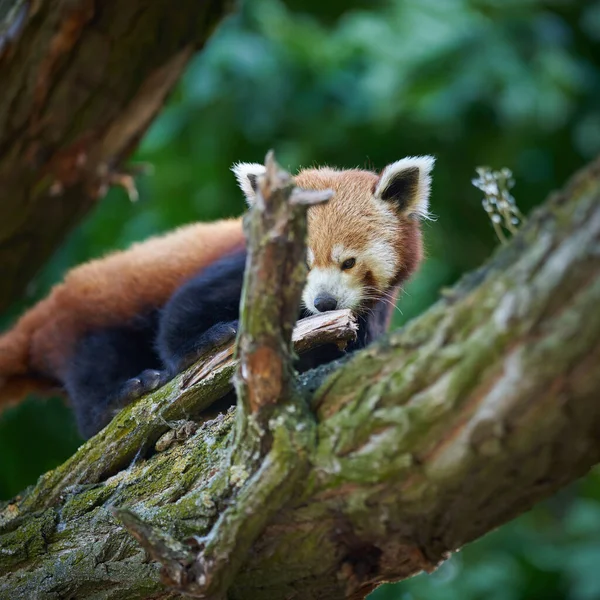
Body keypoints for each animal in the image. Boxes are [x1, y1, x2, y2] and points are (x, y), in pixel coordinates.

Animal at [0, 155, 432, 436]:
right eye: (303, 263)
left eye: (348, 262)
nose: (324, 304)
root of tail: (45, 309)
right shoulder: (236, 267)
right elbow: (180, 313)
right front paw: (204, 342)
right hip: (85, 322)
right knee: (94, 368)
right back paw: (121, 395)